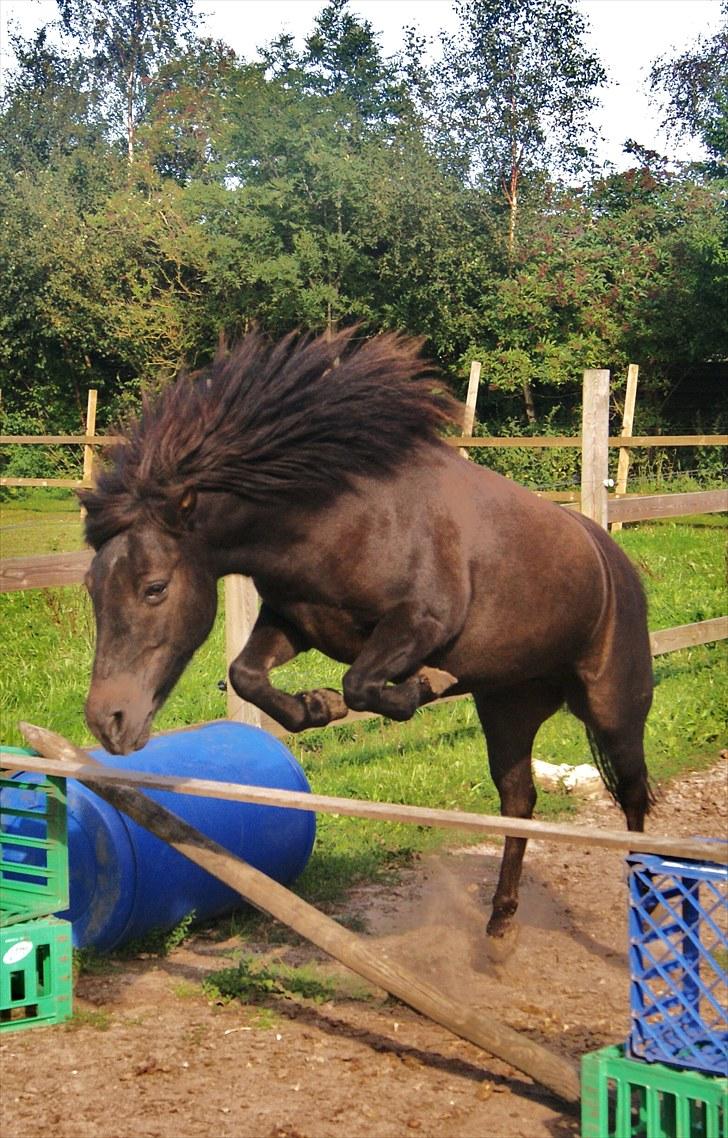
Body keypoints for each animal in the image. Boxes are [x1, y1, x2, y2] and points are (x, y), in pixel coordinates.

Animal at [79, 325, 655, 937]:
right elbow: (247, 675)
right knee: (519, 803)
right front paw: (316, 706)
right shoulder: (294, 620)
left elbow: (361, 685)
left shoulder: (420, 622)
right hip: (508, 708)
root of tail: (611, 558)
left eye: (154, 587)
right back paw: (499, 925)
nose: (108, 721)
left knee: (634, 796)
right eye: (92, 585)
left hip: (615, 707)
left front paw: (418, 685)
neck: (340, 516)